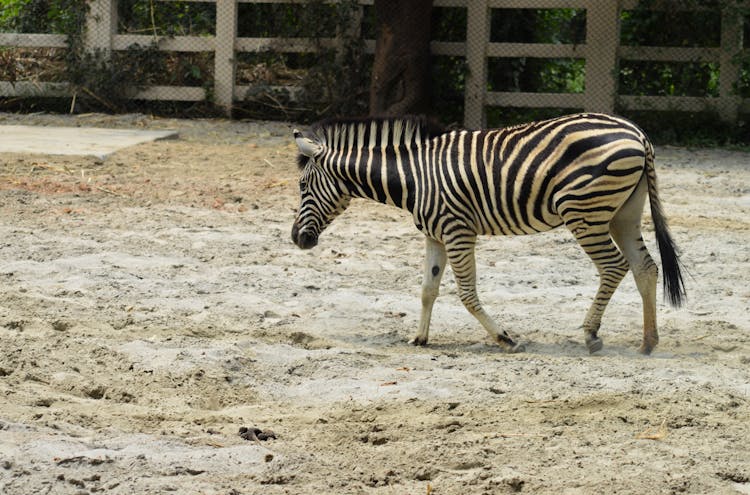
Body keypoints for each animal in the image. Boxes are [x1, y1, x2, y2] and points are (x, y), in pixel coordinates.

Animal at [292, 114, 688, 354]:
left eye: (301, 186)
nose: (297, 240)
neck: (414, 178)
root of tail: (637, 133)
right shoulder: (435, 235)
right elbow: (427, 289)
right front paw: (419, 338)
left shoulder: (457, 230)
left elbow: (467, 294)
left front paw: (505, 338)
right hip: (624, 213)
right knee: (645, 267)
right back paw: (648, 342)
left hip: (584, 211)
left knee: (614, 267)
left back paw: (591, 334)